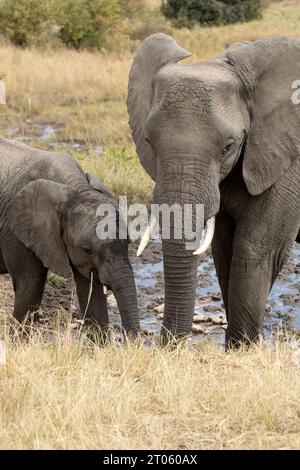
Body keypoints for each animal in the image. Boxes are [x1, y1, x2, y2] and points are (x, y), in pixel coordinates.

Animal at [0, 136, 140, 334]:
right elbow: (29, 284)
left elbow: (91, 291)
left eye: (128, 242)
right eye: (87, 250)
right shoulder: (17, 230)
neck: (75, 188)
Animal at [127, 34, 300, 346]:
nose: (167, 345)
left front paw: (242, 349)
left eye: (228, 147)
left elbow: (256, 248)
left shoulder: (287, 164)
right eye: (148, 141)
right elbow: (223, 247)